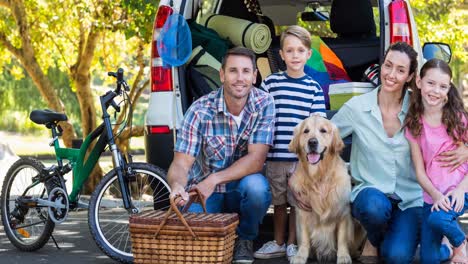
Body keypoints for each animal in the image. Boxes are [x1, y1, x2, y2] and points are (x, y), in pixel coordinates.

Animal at [286, 115, 366, 264]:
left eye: (323, 130)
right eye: (306, 131)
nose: (312, 142)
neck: (319, 176)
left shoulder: (343, 212)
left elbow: (342, 238)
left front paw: (343, 256)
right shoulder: (302, 212)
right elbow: (304, 239)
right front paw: (300, 256)